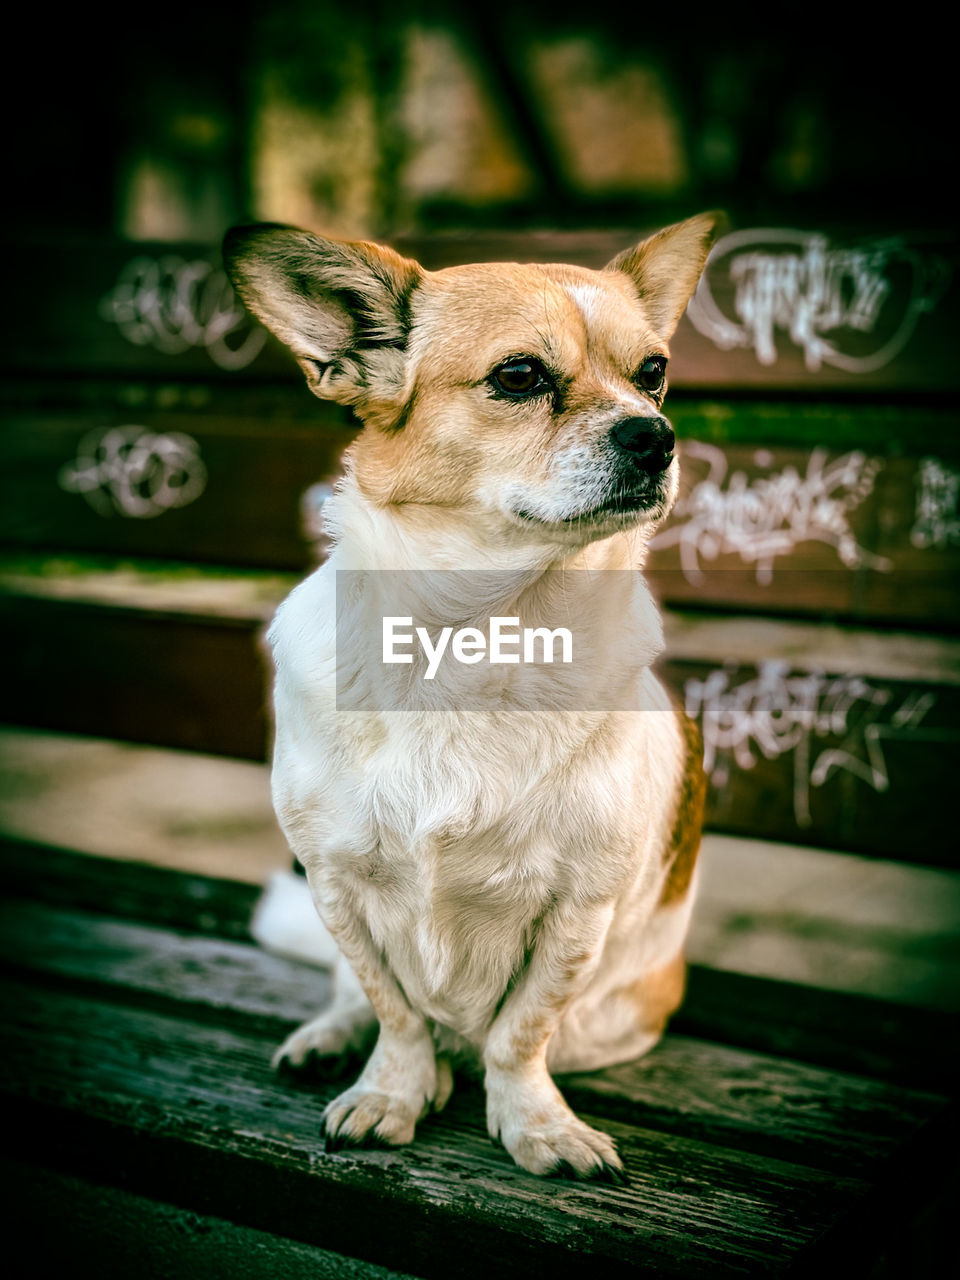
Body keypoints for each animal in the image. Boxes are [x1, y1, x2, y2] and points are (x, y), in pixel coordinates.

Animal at [224, 212, 716, 1177]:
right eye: (519, 376)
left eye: (653, 372)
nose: (656, 434)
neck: (478, 633)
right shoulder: (338, 883)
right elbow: (394, 1008)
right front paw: (391, 1091)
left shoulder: (577, 913)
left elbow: (520, 1034)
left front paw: (537, 1125)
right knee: (356, 996)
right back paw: (331, 1038)